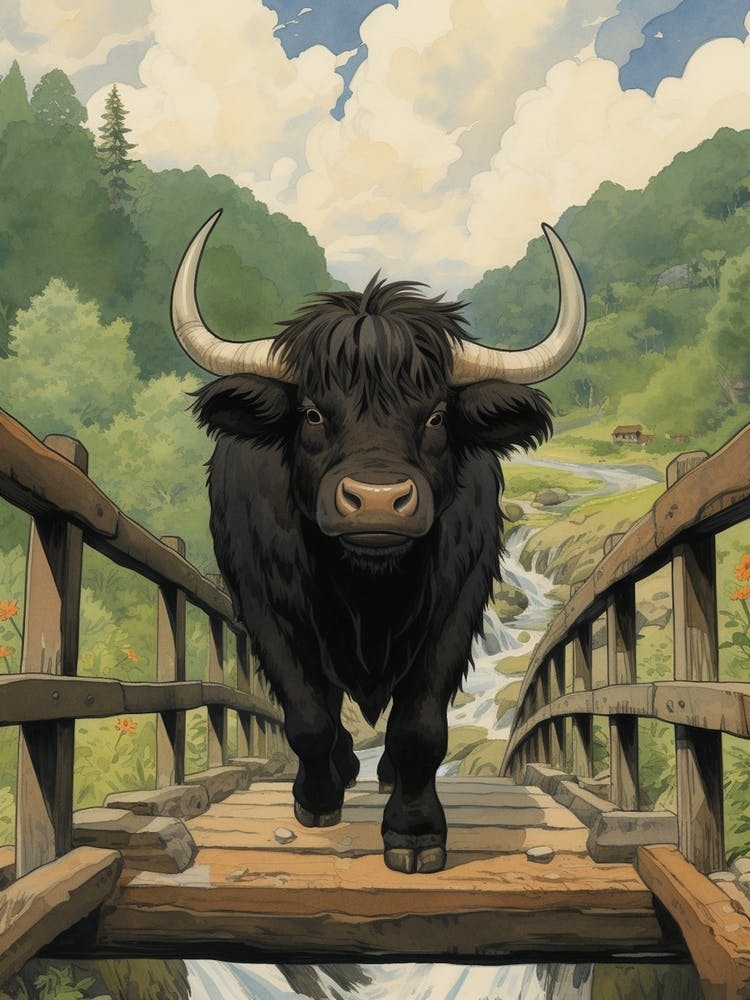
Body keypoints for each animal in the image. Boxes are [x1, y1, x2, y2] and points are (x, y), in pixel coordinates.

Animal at [170, 211, 586, 874]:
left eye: (436, 415)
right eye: (312, 413)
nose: (375, 500)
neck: (367, 588)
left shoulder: (456, 606)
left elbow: (420, 728)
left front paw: (415, 834)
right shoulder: (266, 608)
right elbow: (307, 716)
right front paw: (317, 799)